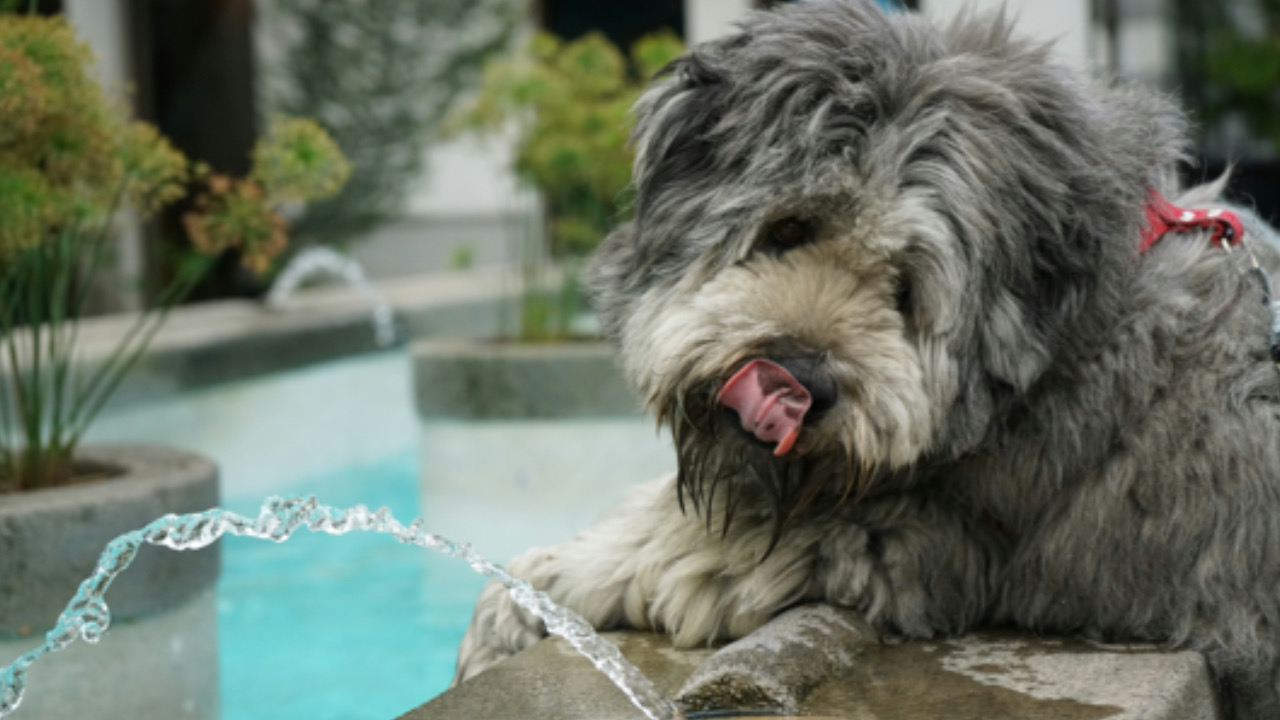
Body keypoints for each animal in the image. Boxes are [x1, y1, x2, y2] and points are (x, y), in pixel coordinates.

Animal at [455, 2, 1280, 712]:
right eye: (788, 228)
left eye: (905, 289)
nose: (798, 382)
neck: (1059, 349)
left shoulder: (900, 535)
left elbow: (667, 544)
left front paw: (516, 598)